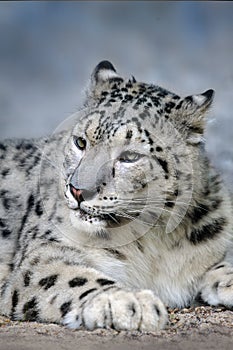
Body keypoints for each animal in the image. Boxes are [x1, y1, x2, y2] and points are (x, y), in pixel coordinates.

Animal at [0, 60, 233, 330]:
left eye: (130, 156)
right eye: (81, 142)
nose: (78, 190)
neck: (154, 244)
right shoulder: (45, 254)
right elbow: (74, 276)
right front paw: (130, 301)